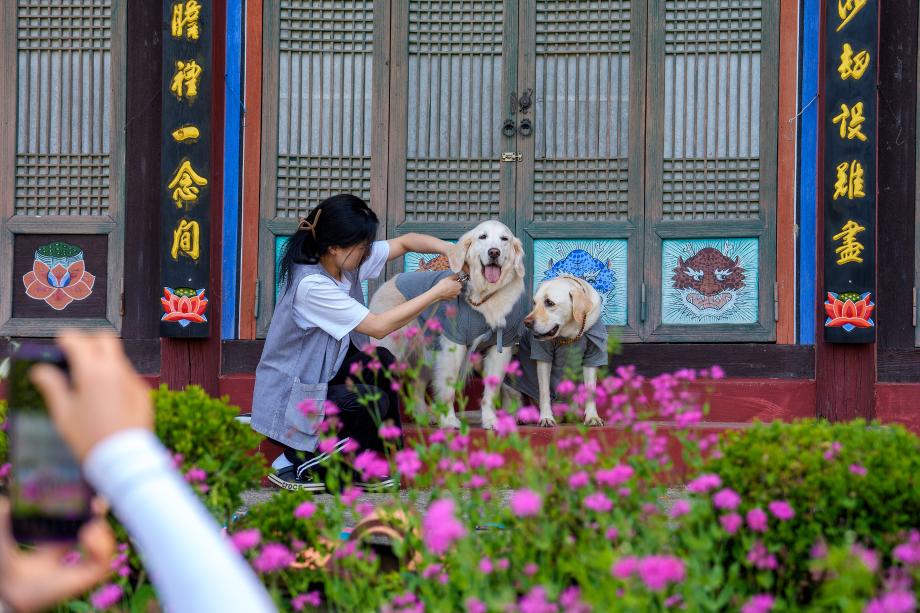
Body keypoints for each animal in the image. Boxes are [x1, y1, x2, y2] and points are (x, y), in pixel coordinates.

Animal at [366, 221, 524, 430]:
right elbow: (448, 389)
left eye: (504, 239)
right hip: (391, 346)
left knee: (416, 386)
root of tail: (392, 280)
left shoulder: (501, 347)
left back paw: (424, 416)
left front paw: (491, 420)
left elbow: (491, 392)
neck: (485, 297)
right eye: (482, 236)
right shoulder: (454, 345)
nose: (494, 252)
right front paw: (449, 421)